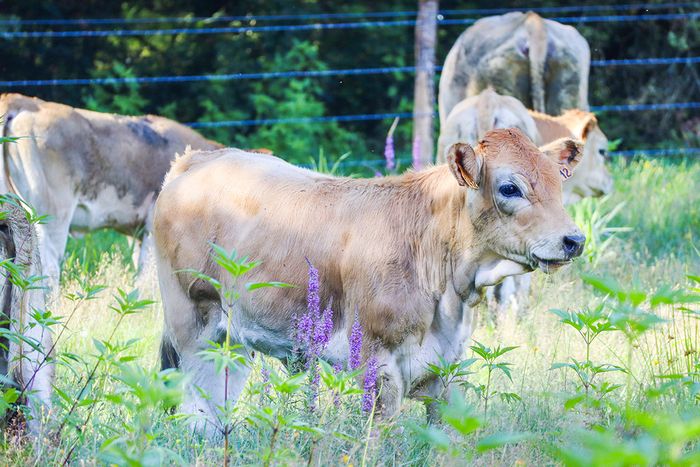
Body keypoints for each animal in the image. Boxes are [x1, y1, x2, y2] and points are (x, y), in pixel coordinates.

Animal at [153, 128, 586, 435]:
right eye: (510, 187)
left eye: (559, 184)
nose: (574, 240)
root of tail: (198, 158)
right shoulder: (377, 366)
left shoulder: (447, 368)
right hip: (192, 327)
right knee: (195, 408)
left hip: (233, 342)